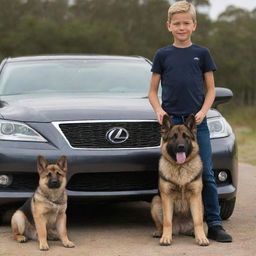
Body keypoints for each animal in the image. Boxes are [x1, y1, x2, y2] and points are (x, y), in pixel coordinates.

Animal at [151, 114, 209, 246]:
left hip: (202, 206)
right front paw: (166, 238)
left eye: (186, 137)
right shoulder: (167, 197)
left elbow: (198, 221)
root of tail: (180, 228)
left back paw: (195, 233)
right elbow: (167, 221)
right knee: (161, 224)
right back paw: (160, 232)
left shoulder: (195, 196)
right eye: (173, 137)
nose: (180, 147)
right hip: (156, 201)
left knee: (203, 225)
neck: (180, 168)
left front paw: (201, 238)